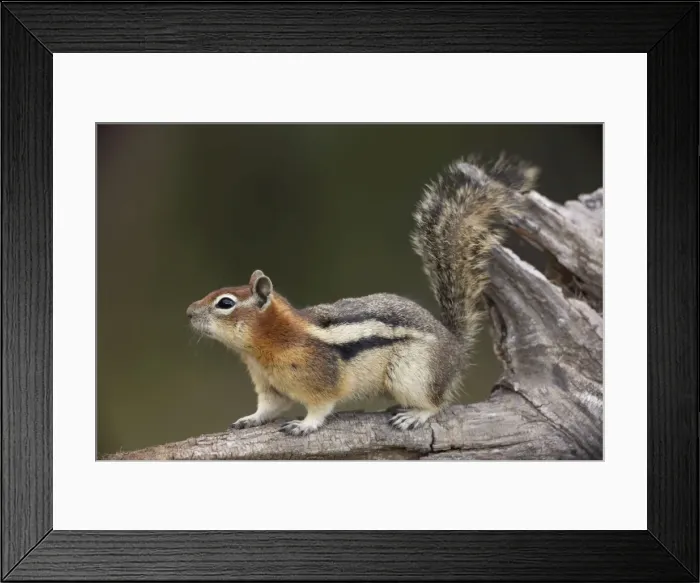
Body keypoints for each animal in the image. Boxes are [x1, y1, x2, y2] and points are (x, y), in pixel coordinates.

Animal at [186, 154, 539, 436]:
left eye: (225, 303)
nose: (188, 312)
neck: (269, 344)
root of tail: (454, 347)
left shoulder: (321, 381)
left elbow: (321, 406)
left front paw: (305, 425)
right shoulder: (271, 387)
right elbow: (268, 408)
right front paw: (250, 418)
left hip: (412, 374)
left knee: (436, 403)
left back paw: (414, 415)